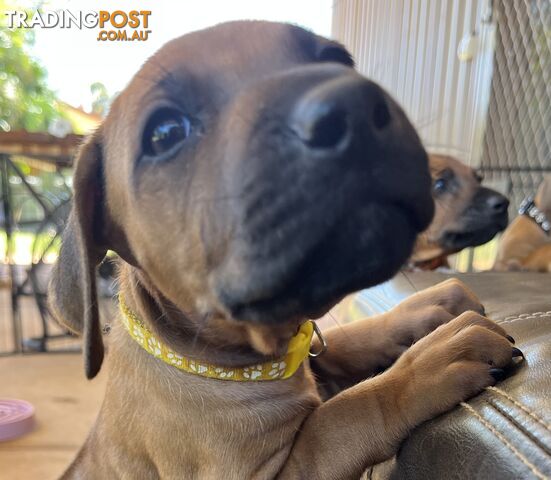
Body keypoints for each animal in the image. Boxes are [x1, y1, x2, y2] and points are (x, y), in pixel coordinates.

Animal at [46, 22, 516, 480]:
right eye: (165, 133)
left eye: (338, 60)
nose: (353, 105)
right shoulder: (268, 470)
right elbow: (344, 414)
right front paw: (432, 362)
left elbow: (348, 337)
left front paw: (426, 307)